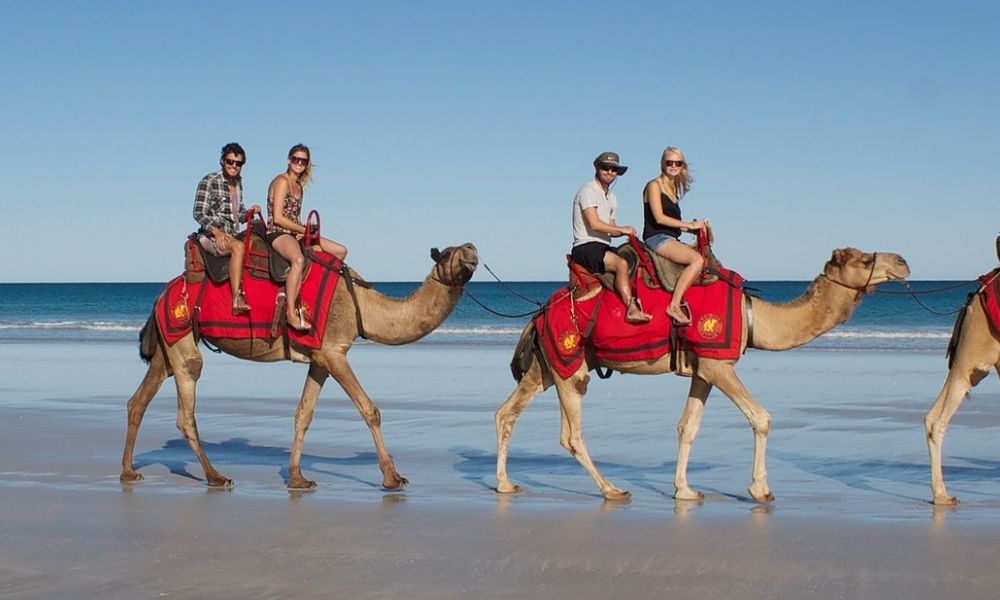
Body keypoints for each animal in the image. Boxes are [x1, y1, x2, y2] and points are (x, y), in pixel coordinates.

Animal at [121, 243, 478, 490]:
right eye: (449, 253)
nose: (472, 249)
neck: (361, 306)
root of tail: (160, 296)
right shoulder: (335, 352)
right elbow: (369, 409)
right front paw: (393, 477)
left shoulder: (320, 358)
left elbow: (303, 414)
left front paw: (297, 478)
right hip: (182, 341)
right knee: (186, 408)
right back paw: (216, 476)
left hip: (168, 344)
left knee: (139, 400)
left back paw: (128, 471)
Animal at [495, 247, 910, 502]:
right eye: (866, 258)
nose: (903, 262)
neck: (753, 316)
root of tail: (537, 313)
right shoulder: (718, 364)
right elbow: (761, 417)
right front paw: (760, 491)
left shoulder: (703, 370)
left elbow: (688, 426)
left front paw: (684, 490)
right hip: (570, 365)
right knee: (571, 435)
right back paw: (612, 490)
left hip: (548, 364)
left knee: (507, 412)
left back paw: (504, 483)